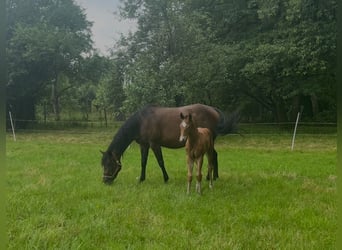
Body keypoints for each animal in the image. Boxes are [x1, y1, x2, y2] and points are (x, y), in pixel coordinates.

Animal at [101, 103, 238, 184]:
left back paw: (209, 177)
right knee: (215, 155)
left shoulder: (154, 144)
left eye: (109, 164)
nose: (105, 181)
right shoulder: (144, 145)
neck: (141, 121)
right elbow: (143, 162)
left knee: (212, 156)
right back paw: (215, 176)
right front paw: (141, 179)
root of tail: (213, 109)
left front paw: (166, 178)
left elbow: (160, 162)